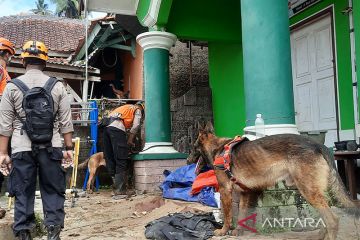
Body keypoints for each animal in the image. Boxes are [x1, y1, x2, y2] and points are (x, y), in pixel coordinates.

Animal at [187, 122, 358, 240]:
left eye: (194, 147)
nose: (187, 160)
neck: (218, 148)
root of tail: (317, 144)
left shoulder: (225, 191)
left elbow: (228, 216)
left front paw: (223, 231)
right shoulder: (244, 194)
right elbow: (241, 214)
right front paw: (238, 231)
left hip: (308, 191)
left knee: (333, 219)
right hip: (314, 192)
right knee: (326, 216)